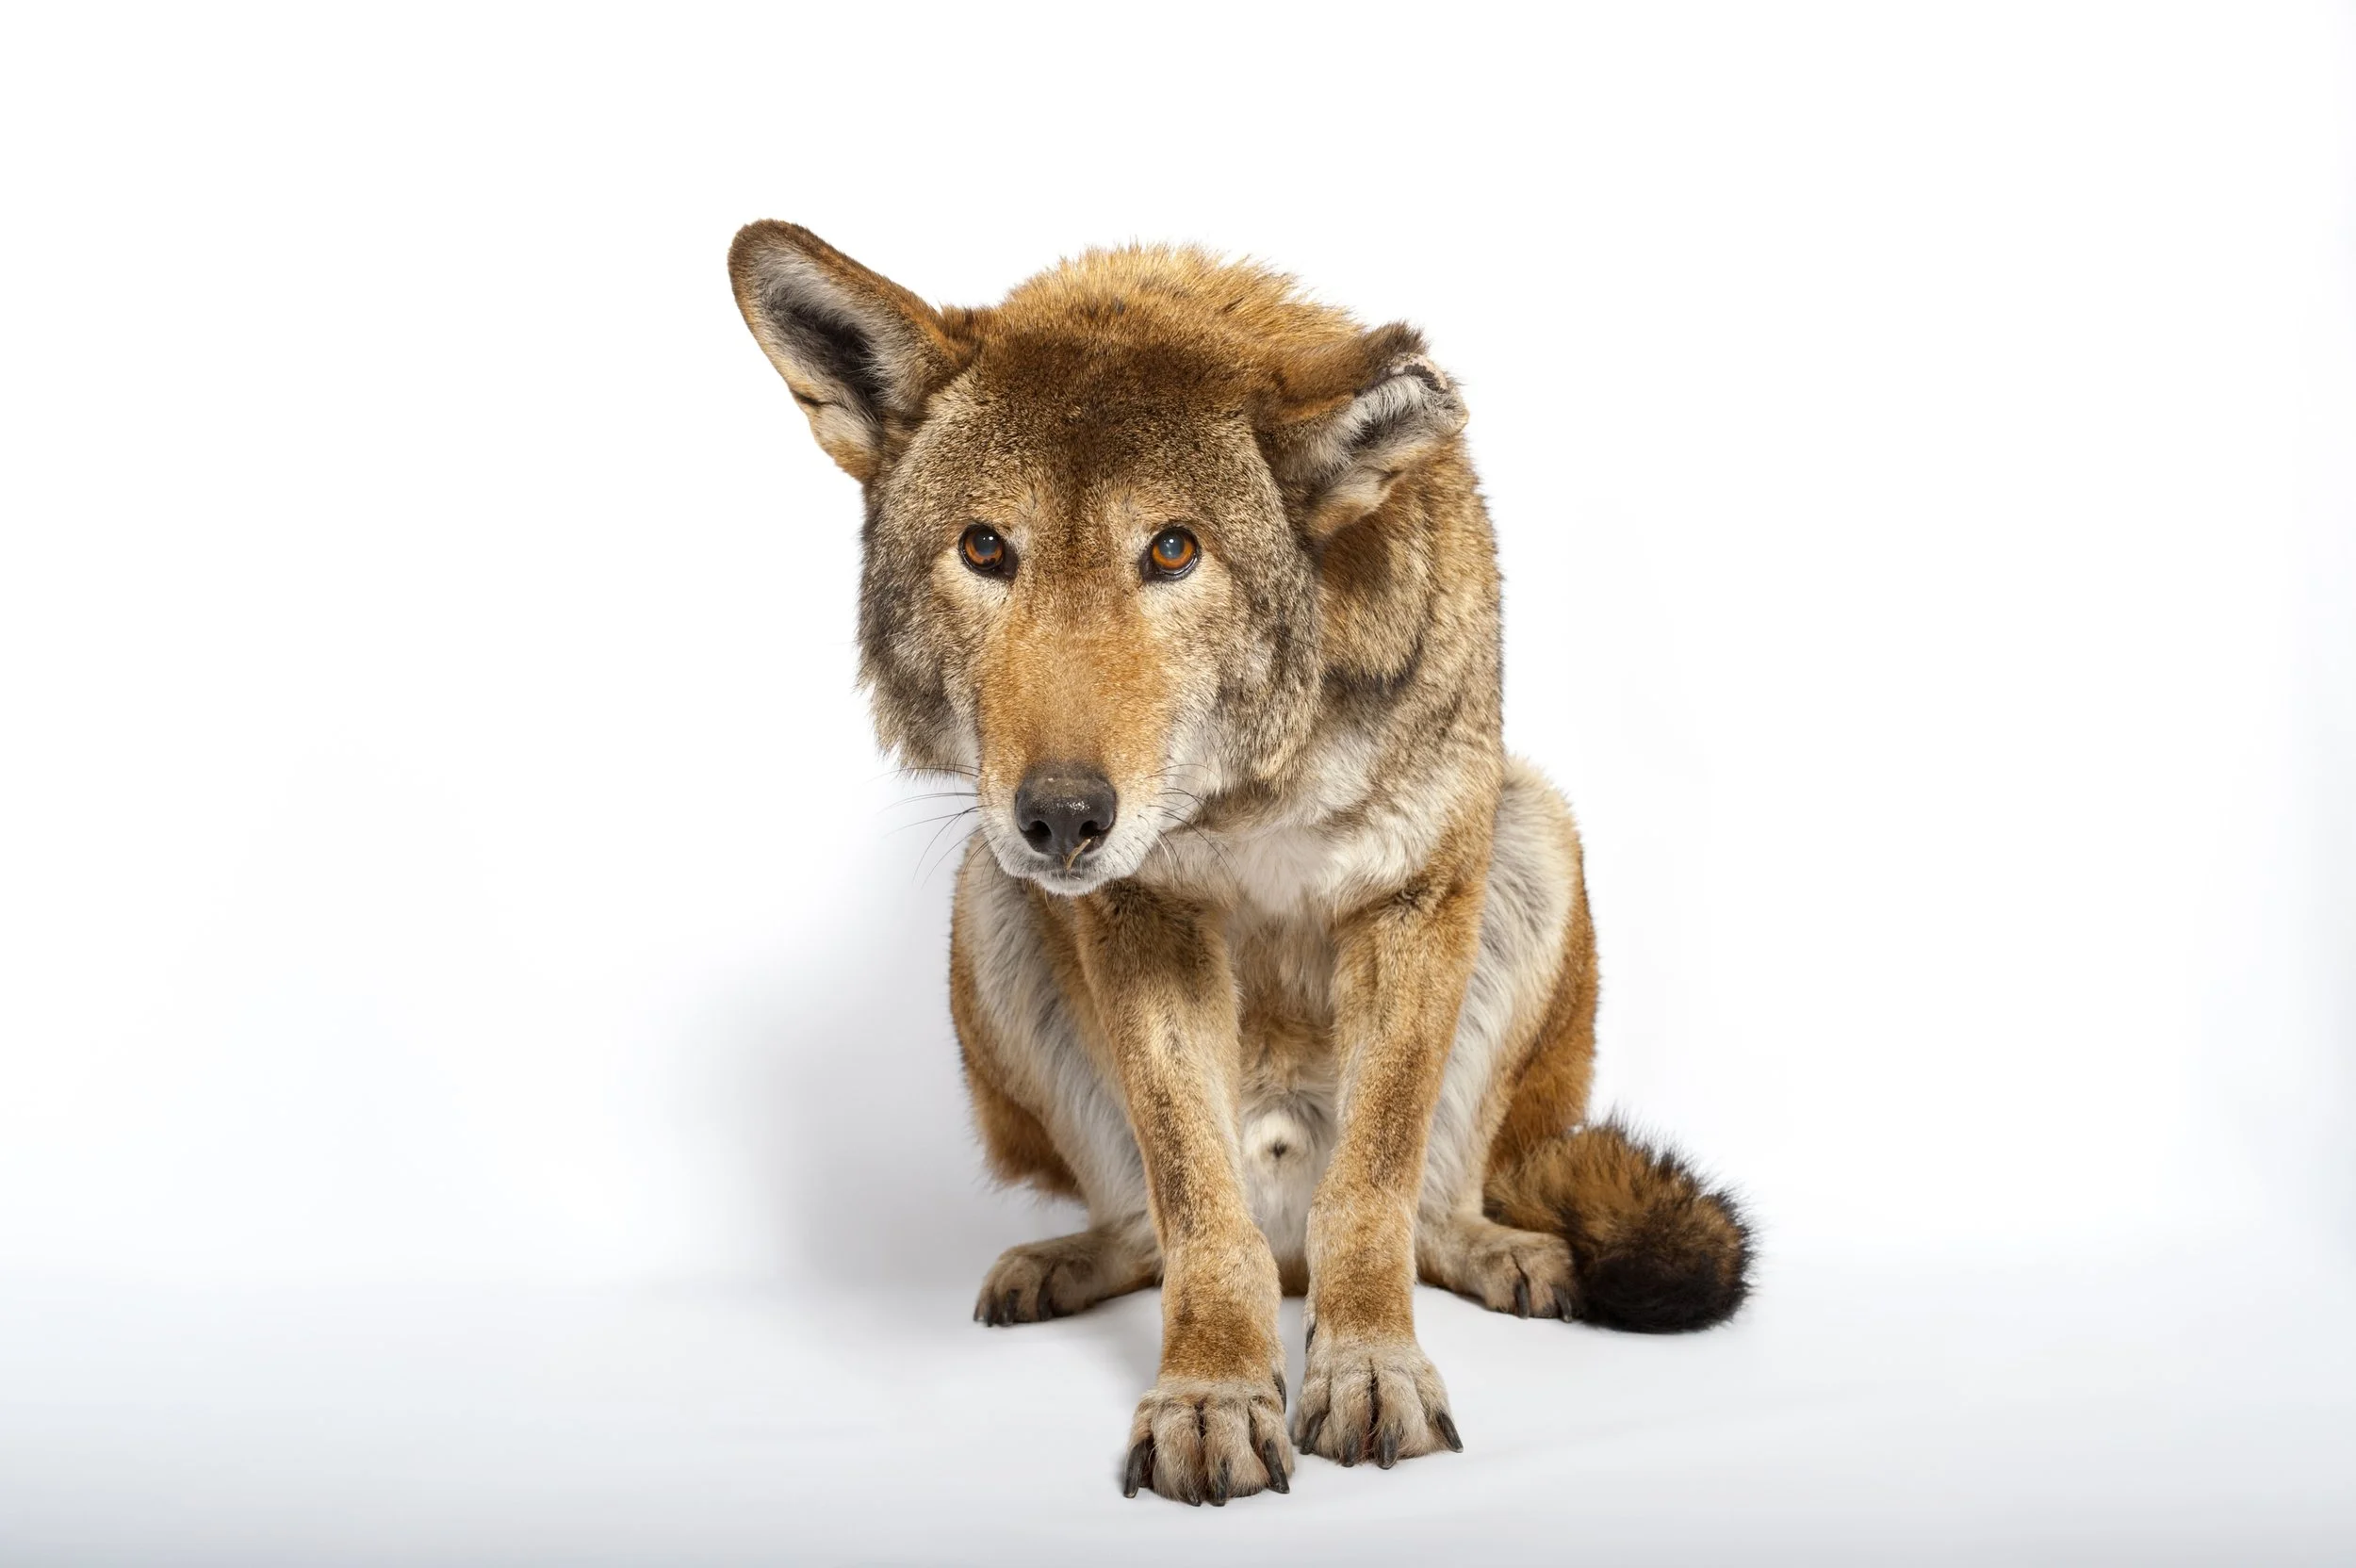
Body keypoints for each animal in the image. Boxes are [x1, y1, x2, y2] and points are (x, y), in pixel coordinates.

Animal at [728, 223, 1752, 1504]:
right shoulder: (1141, 916)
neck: (1253, 787)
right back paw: (1072, 1260)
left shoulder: (1414, 895)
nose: (1061, 818)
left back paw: (1498, 1250)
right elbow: (1196, 1204)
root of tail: (1289, 1238)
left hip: (1532, 829)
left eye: (1172, 550)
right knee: (1151, 1223)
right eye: (984, 548)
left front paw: (1367, 1371)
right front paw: (1211, 1393)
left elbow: (1372, 1185)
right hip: (986, 893)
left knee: (1431, 1200)